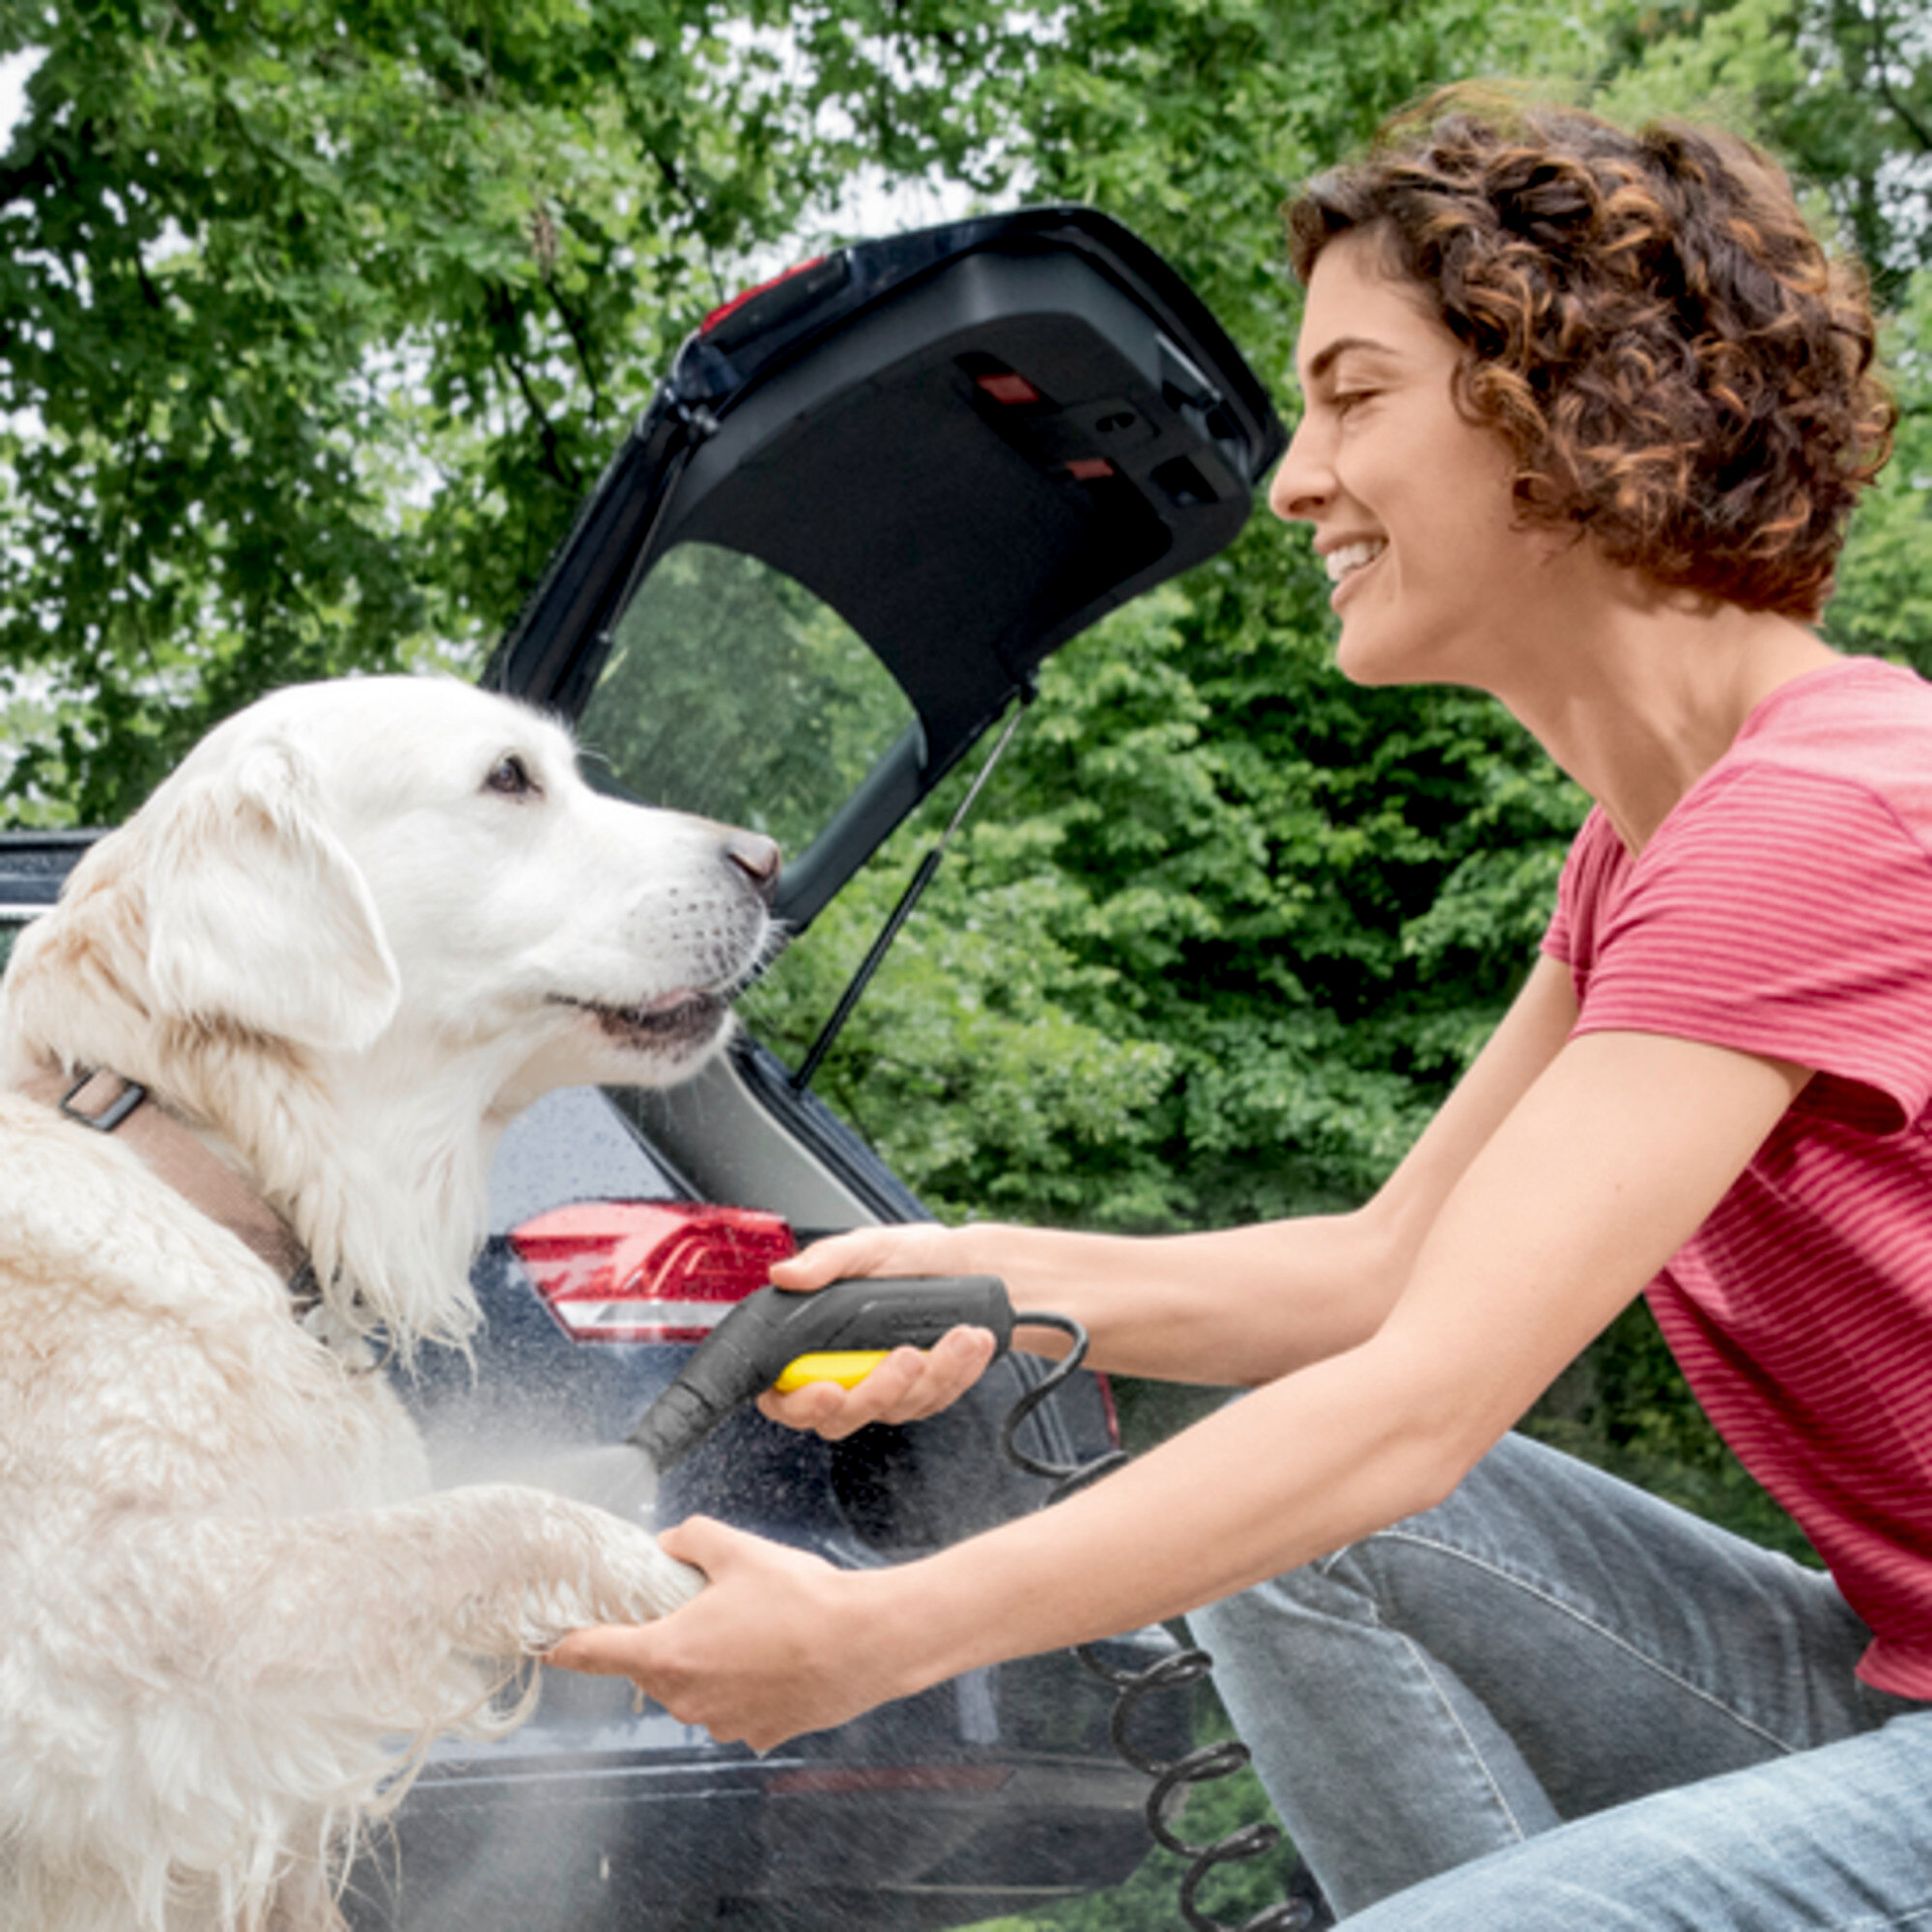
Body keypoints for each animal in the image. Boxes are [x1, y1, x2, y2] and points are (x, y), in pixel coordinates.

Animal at [1, 680, 784, 1932]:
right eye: (509, 777)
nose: (767, 861)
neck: (183, 1145)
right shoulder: (113, 1636)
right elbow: (489, 1513)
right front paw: (681, 1586)